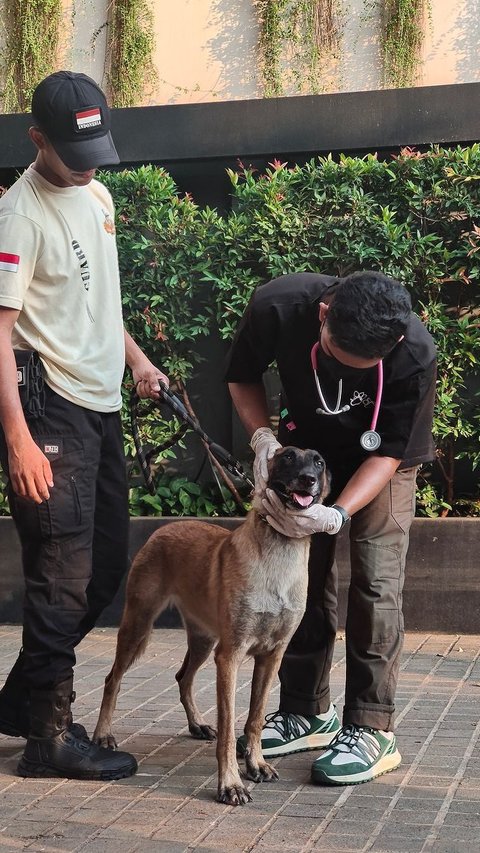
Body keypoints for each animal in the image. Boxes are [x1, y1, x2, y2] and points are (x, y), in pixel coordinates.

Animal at [94, 446, 330, 804]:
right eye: (287, 456)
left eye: (319, 461)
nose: (308, 479)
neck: (277, 559)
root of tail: (163, 529)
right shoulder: (229, 657)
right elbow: (230, 730)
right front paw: (231, 783)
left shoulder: (271, 657)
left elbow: (255, 719)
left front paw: (257, 764)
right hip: (139, 626)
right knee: (112, 679)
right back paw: (103, 733)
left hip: (203, 642)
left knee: (183, 677)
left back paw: (197, 724)